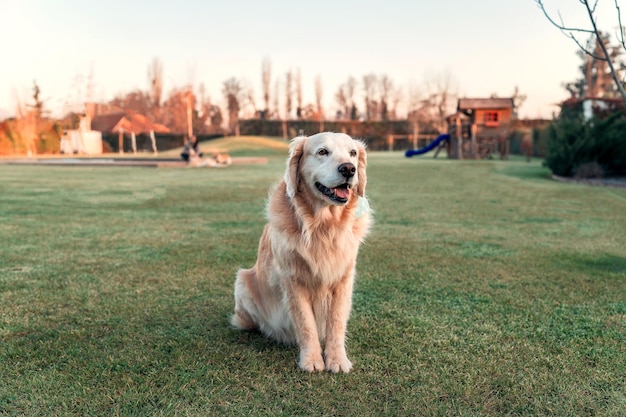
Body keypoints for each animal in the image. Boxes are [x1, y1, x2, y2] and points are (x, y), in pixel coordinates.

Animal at [233, 132, 370, 372]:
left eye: (353, 153)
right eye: (322, 151)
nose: (348, 169)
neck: (323, 226)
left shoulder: (343, 279)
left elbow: (336, 322)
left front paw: (337, 359)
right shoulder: (293, 281)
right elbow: (306, 324)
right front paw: (312, 360)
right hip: (242, 284)